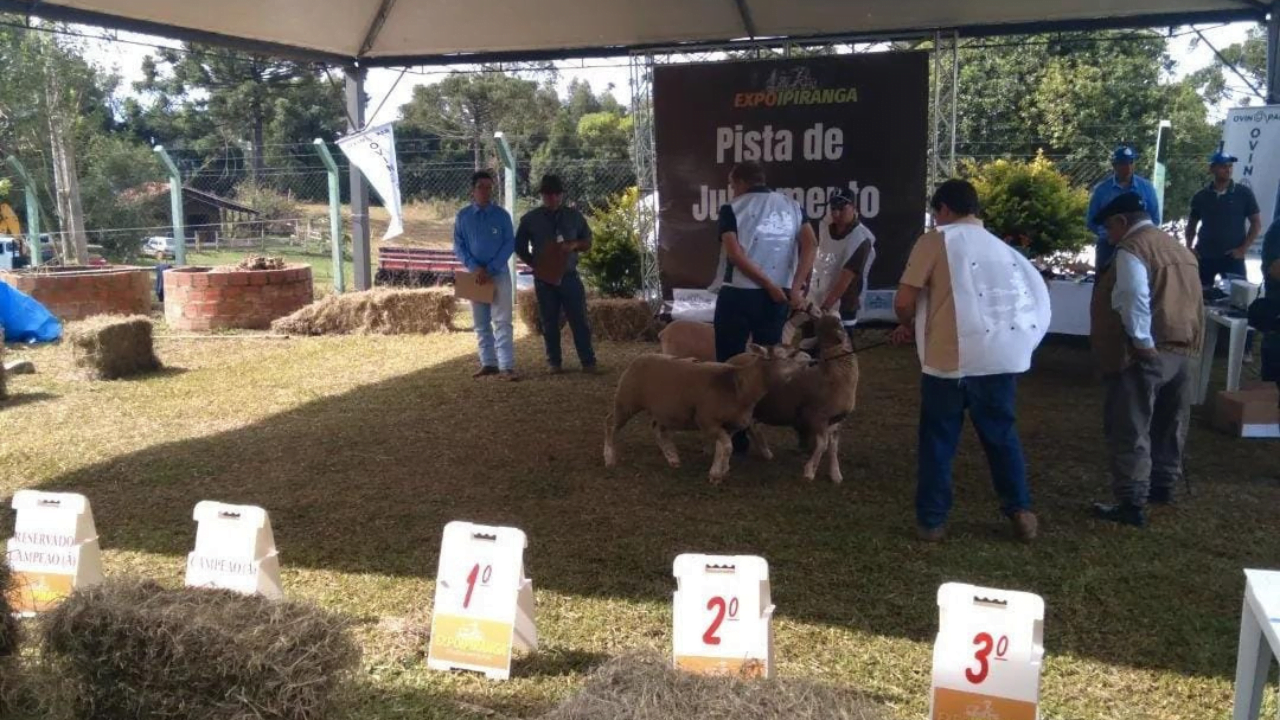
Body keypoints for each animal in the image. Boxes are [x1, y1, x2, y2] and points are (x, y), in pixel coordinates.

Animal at [732, 310, 860, 481]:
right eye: (835, 322)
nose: (828, 310)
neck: (833, 374)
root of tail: (734, 357)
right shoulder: (816, 416)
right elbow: (823, 444)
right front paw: (809, 471)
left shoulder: (837, 420)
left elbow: (833, 447)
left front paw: (835, 473)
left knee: (753, 426)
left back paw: (766, 452)